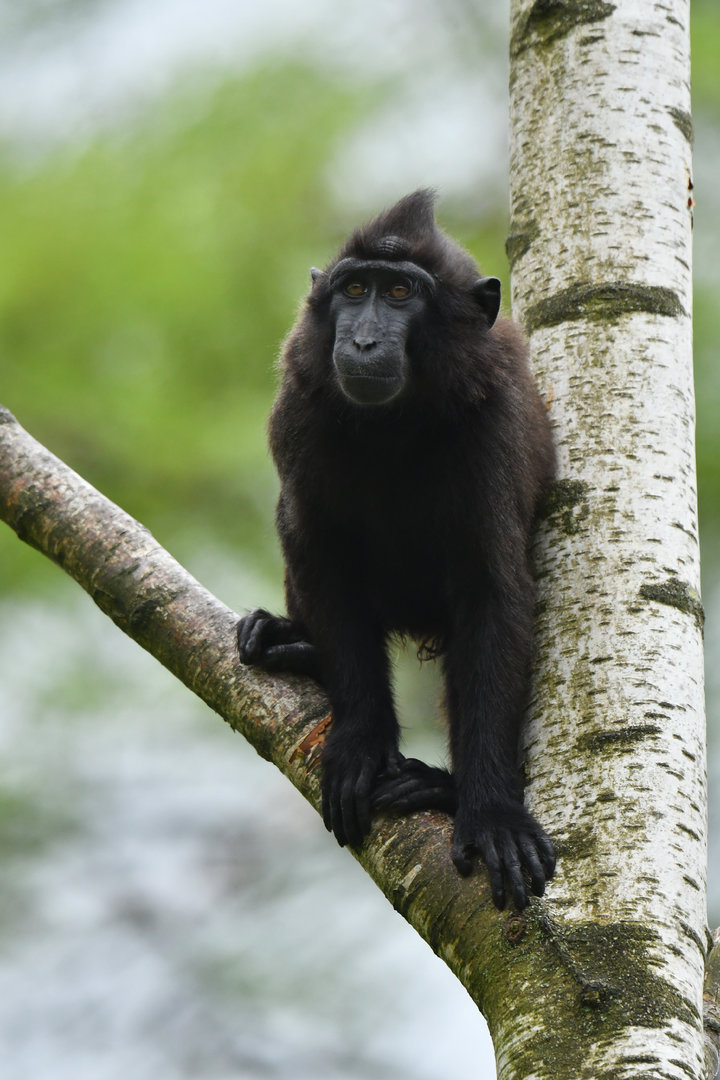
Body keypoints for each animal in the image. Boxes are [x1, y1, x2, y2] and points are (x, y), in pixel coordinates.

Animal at [236, 190, 556, 910]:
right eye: (355, 290)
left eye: (402, 293)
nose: (362, 340)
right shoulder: (299, 407)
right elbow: (316, 550)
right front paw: (361, 741)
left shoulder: (494, 420)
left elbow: (495, 594)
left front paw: (490, 811)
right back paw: (291, 643)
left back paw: (441, 788)